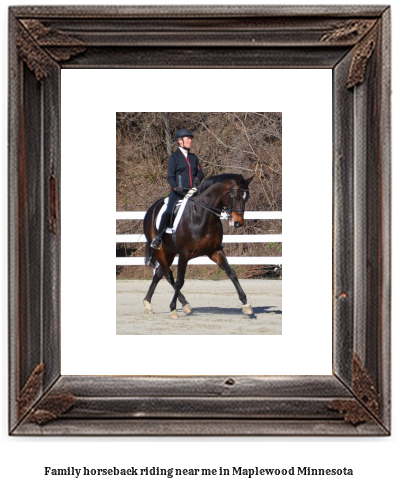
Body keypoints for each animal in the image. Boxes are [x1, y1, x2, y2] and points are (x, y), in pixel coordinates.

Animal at [144, 174, 255, 320]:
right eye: (236, 196)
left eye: (246, 197)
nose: (238, 223)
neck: (204, 215)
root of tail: (152, 208)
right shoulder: (184, 254)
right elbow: (179, 281)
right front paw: (172, 308)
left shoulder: (215, 251)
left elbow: (231, 273)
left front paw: (246, 305)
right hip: (160, 250)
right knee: (168, 275)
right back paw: (179, 305)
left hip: (169, 252)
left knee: (158, 274)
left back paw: (149, 303)